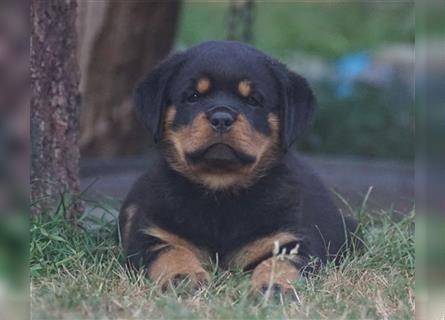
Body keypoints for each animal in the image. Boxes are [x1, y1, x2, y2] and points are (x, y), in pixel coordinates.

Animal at [119, 40, 358, 296]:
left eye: (253, 100)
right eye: (193, 96)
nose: (221, 118)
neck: (221, 193)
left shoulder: (291, 241)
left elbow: (280, 264)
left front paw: (273, 286)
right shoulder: (151, 236)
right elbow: (170, 253)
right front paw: (182, 276)